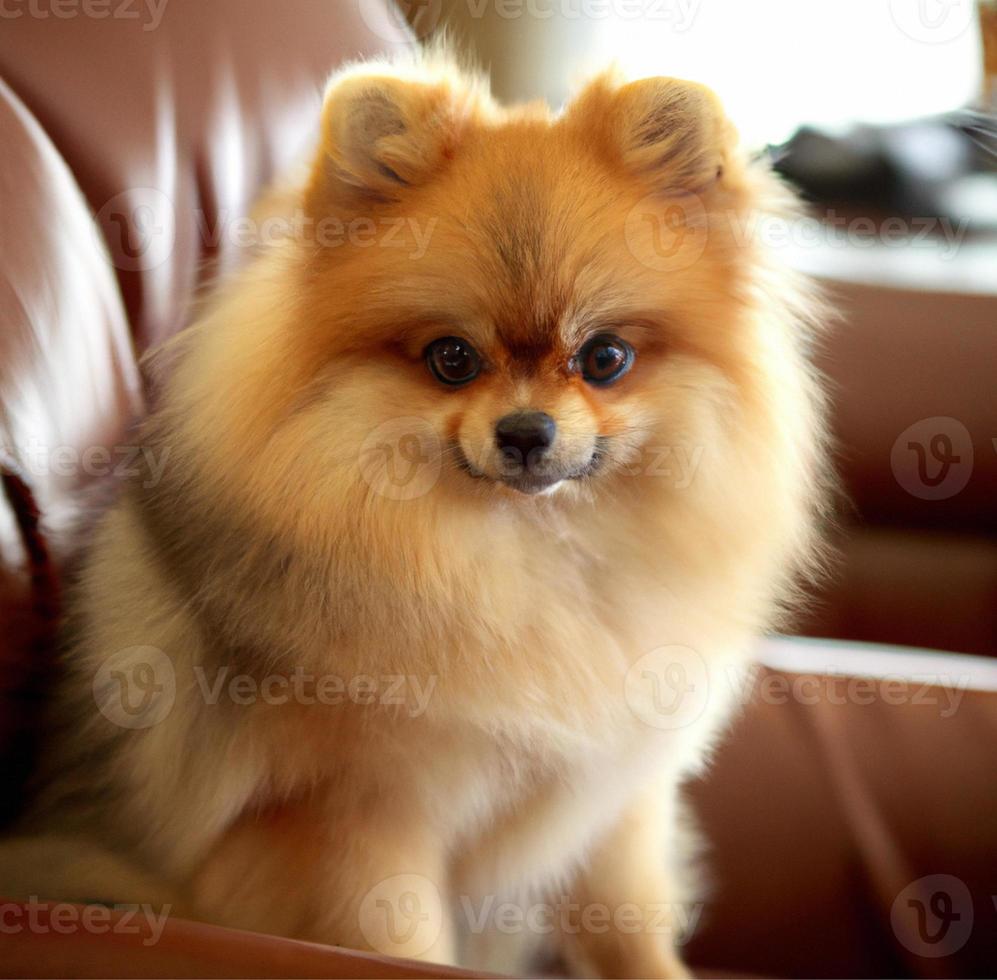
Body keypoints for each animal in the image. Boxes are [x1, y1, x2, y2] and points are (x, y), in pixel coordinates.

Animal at [0, 55, 824, 980]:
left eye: (604, 358)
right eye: (451, 359)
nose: (526, 432)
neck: (523, 560)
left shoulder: (607, 797)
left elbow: (630, 929)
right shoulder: (354, 821)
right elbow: (404, 944)